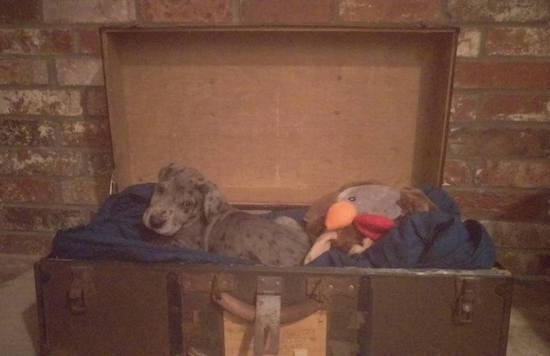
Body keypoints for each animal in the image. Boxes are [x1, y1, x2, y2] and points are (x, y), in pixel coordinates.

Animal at [142, 163, 312, 266]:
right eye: (161, 189)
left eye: (187, 204)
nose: (155, 221)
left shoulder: (187, 245)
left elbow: (164, 242)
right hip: (285, 219)